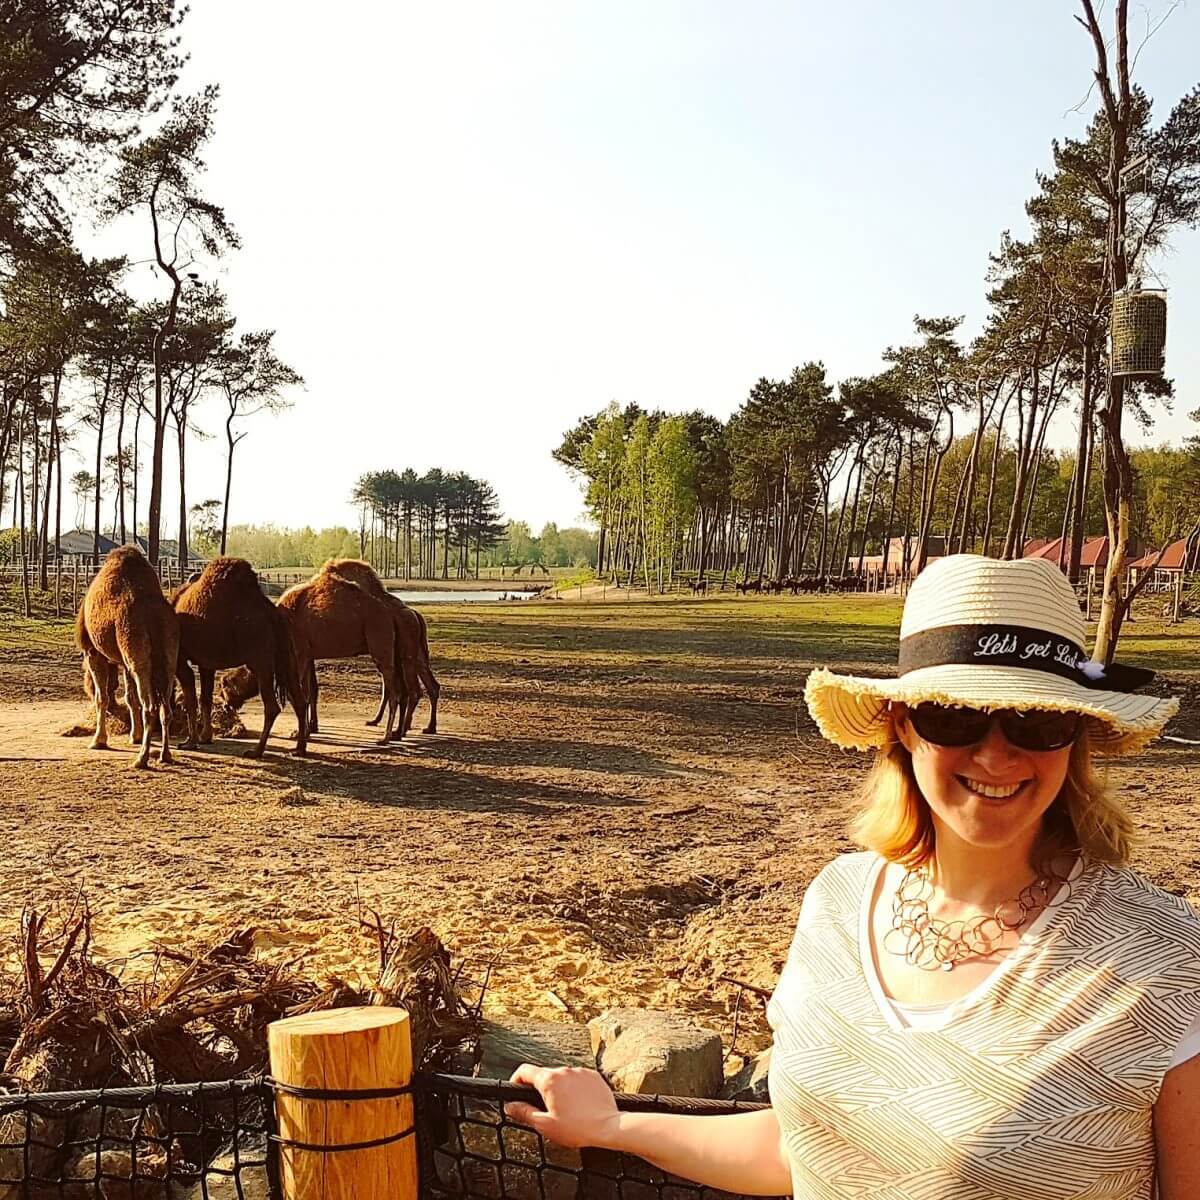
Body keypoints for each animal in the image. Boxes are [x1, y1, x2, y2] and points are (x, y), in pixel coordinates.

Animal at [76, 544, 180, 768]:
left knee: (150, 706)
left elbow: (102, 697)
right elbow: (130, 698)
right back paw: (165, 755)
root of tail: (154, 616)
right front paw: (135, 736)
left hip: (138, 659)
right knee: (165, 708)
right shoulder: (124, 662)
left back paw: (141, 759)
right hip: (168, 659)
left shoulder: (93, 652)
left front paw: (98, 741)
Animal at [175, 554, 312, 758]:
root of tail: (273, 613)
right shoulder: (206, 662)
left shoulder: (179, 657)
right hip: (287, 657)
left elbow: (190, 698)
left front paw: (190, 742)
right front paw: (205, 737)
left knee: (272, 706)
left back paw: (256, 751)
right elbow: (205, 698)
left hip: (260, 658)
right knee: (299, 700)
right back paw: (299, 748)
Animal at [217, 566, 403, 744]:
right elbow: (307, 693)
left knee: (394, 694)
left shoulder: (298, 654)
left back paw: (385, 737)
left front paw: (299, 733)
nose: (224, 704)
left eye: (224, 685)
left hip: (380, 640)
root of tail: (390, 614)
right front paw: (306, 732)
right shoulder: (305, 656)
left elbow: (298, 694)